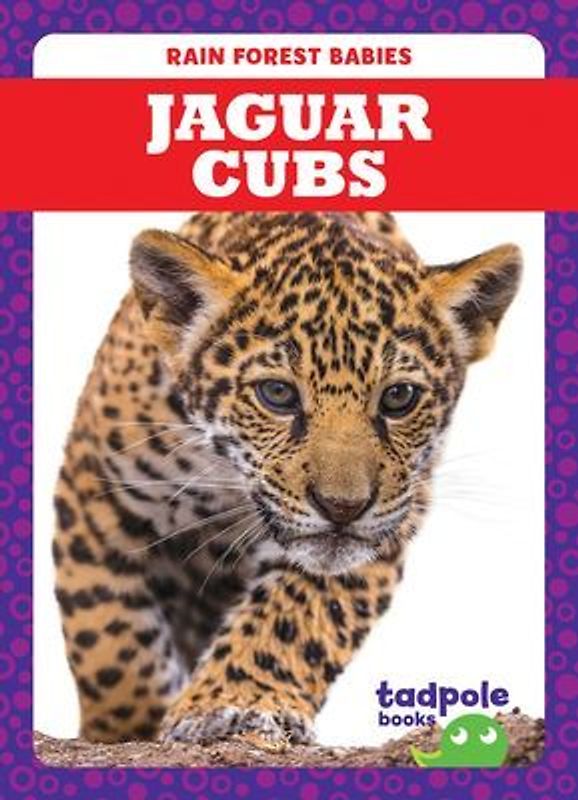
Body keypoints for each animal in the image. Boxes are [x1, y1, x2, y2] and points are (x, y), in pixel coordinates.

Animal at [52, 211, 521, 745]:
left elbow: (296, 616)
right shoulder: (93, 492)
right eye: (276, 394)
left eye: (399, 397)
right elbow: (108, 637)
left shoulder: (388, 522)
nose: (343, 507)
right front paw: (128, 726)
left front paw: (234, 700)